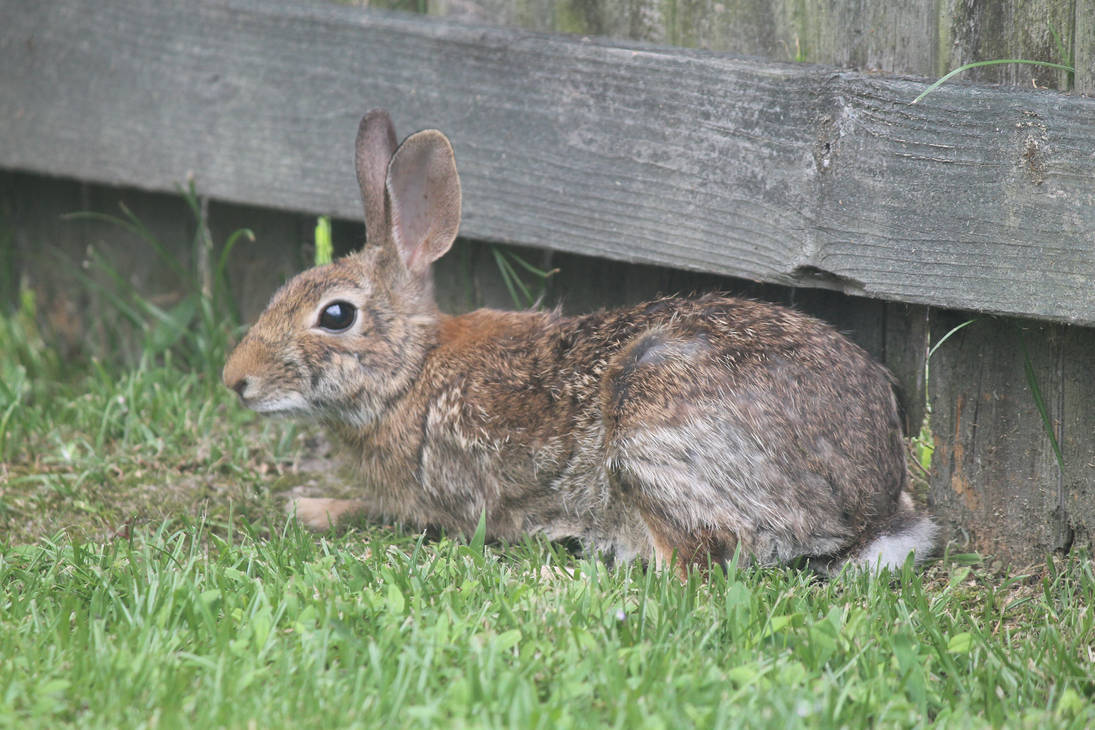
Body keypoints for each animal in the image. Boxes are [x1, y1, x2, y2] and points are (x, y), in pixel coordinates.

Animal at [222, 109, 937, 577]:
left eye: (336, 315)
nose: (236, 380)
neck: (410, 372)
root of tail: (870, 511)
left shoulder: (447, 503)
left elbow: (379, 514)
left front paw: (309, 508)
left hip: (650, 431)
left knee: (698, 559)